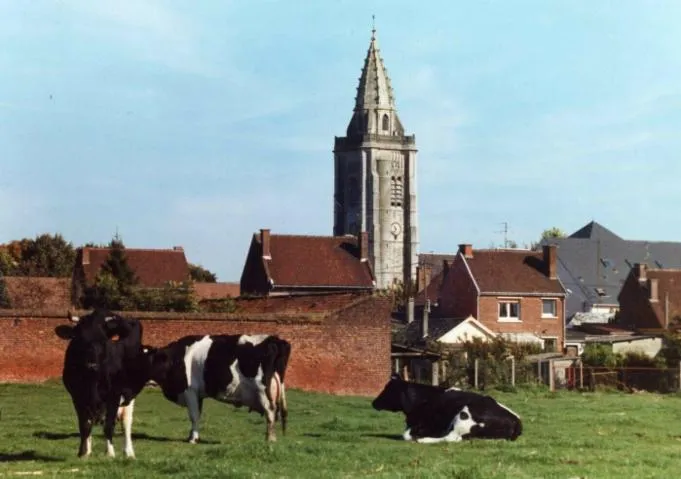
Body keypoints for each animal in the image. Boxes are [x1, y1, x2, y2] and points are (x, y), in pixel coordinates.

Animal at [54, 310, 150, 460]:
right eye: (80, 339)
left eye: (104, 341)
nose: (92, 365)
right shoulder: (77, 397)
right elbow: (84, 425)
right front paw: (83, 453)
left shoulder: (114, 395)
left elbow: (109, 425)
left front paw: (110, 453)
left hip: (129, 396)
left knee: (126, 422)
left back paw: (129, 452)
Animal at [146, 334, 290, 442]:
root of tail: (274, 339)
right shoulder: (198, 394)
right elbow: (197, 414)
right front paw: (192, 435)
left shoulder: (189, 390)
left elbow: (193, 415)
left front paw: (193, 439)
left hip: (263, 391)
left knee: (270, 413)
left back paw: (269, 439)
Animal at [372, 376, 520, 446]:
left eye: (387, 389)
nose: (374, 403)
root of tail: (516, 420)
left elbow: (405, 435)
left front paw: (416, 436)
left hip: (463, 415)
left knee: (452, 438)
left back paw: (423, 440)